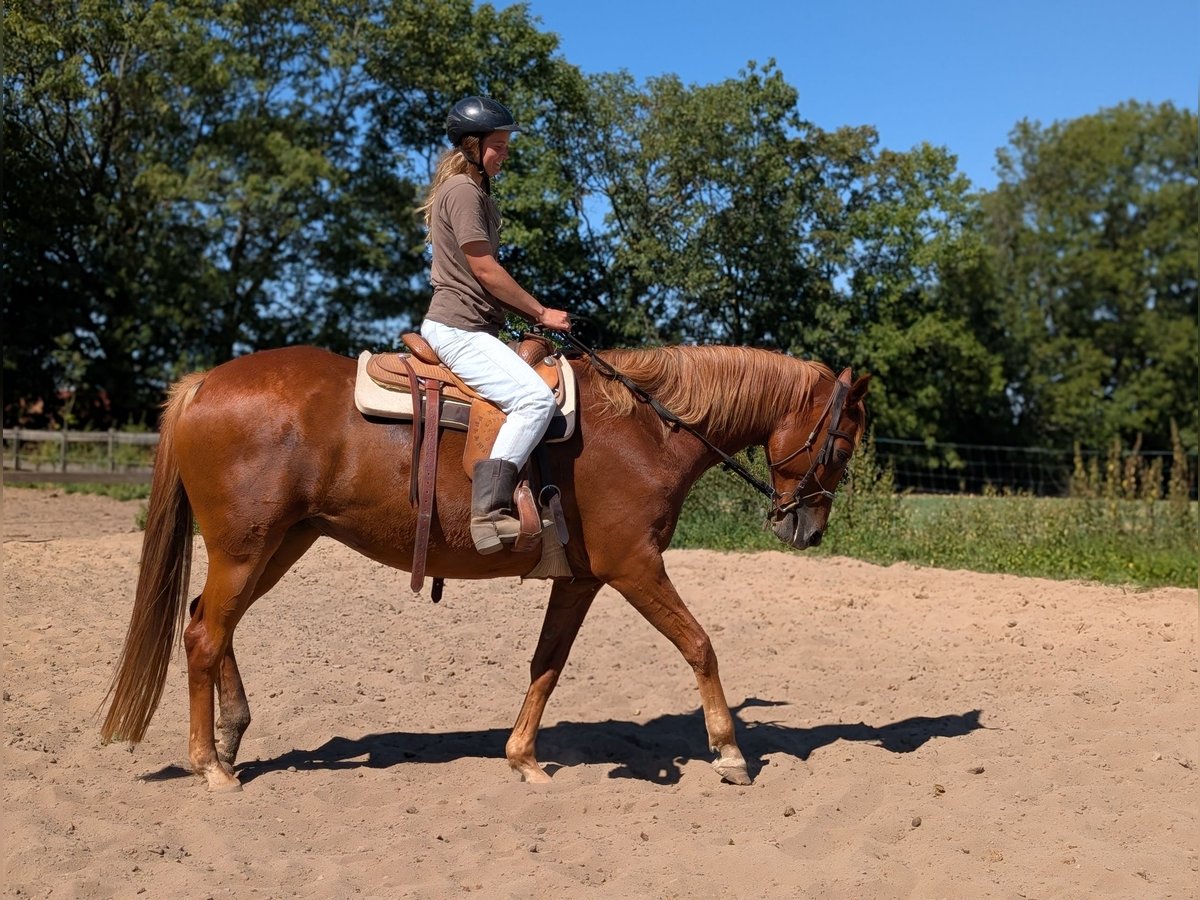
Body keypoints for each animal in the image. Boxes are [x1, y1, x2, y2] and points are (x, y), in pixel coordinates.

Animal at [101, 342, 870, 792]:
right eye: (842, 443)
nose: (808, 528)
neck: (645, 427)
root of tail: (204, 383)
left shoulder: (583, 579)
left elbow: (547, 666)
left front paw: (523, 756)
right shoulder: (635, 567)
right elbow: (700, 645)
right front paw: (730, 752)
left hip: (278, 544)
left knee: (212, 624)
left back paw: (230, 740)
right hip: (247, 547)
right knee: (204, 634)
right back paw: (210, 766)